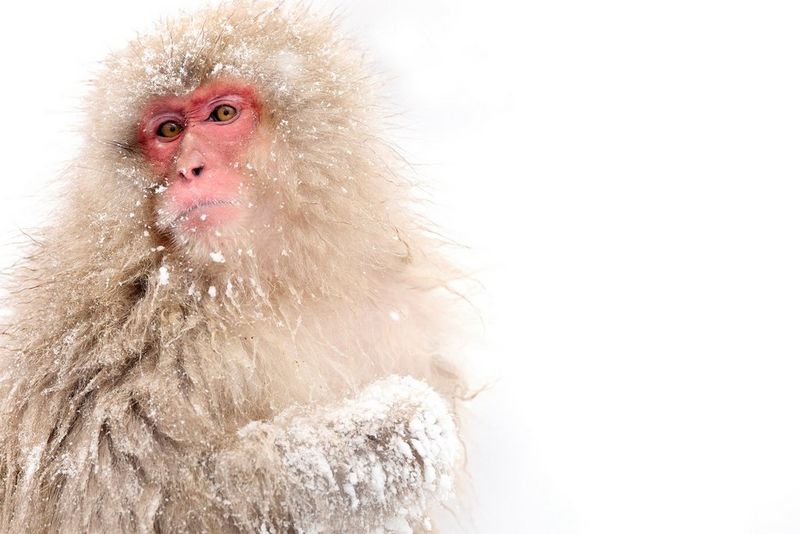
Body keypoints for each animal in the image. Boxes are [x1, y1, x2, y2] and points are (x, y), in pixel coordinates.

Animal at [0, 1, 470, 532]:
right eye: (169, 130)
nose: (189, 168)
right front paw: (399, 432)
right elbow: (121, 496)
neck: (257, 283)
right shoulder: (108, 350)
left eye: (223, 114)